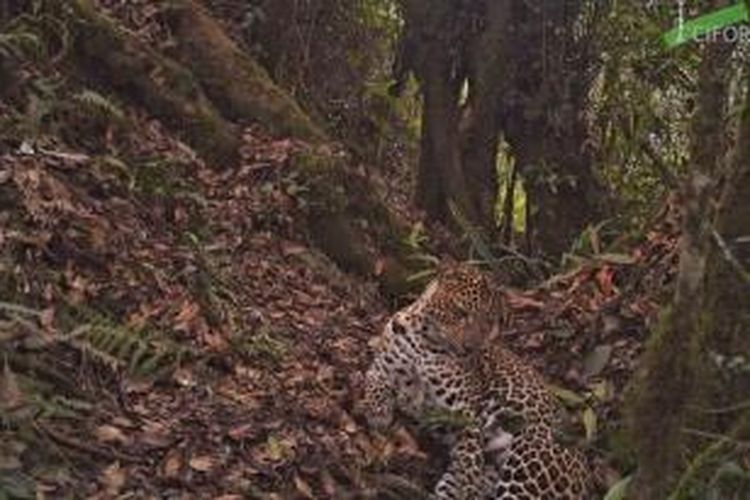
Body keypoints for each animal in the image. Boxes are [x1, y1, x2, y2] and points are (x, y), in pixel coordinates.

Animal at [360, 264, 592, 498]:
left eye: (488, 321)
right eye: (460, 312)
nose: (470, 347)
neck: (425, 340)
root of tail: (585, 477)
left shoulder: (465, 416)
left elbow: (466, 467)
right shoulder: (383, 364)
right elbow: (373, 379)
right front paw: (377, 413)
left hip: (527, 460)